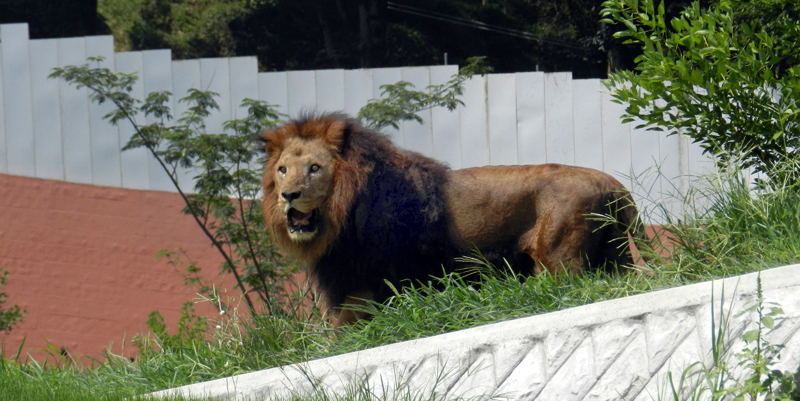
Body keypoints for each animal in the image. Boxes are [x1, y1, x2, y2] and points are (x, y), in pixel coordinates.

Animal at [260, 111, 648, 324]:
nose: (288, 196)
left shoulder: (363, 287)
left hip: (560, 258)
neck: (340, 213)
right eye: (282, 170)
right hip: (614, 253)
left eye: (314, 169)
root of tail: (611, 183)